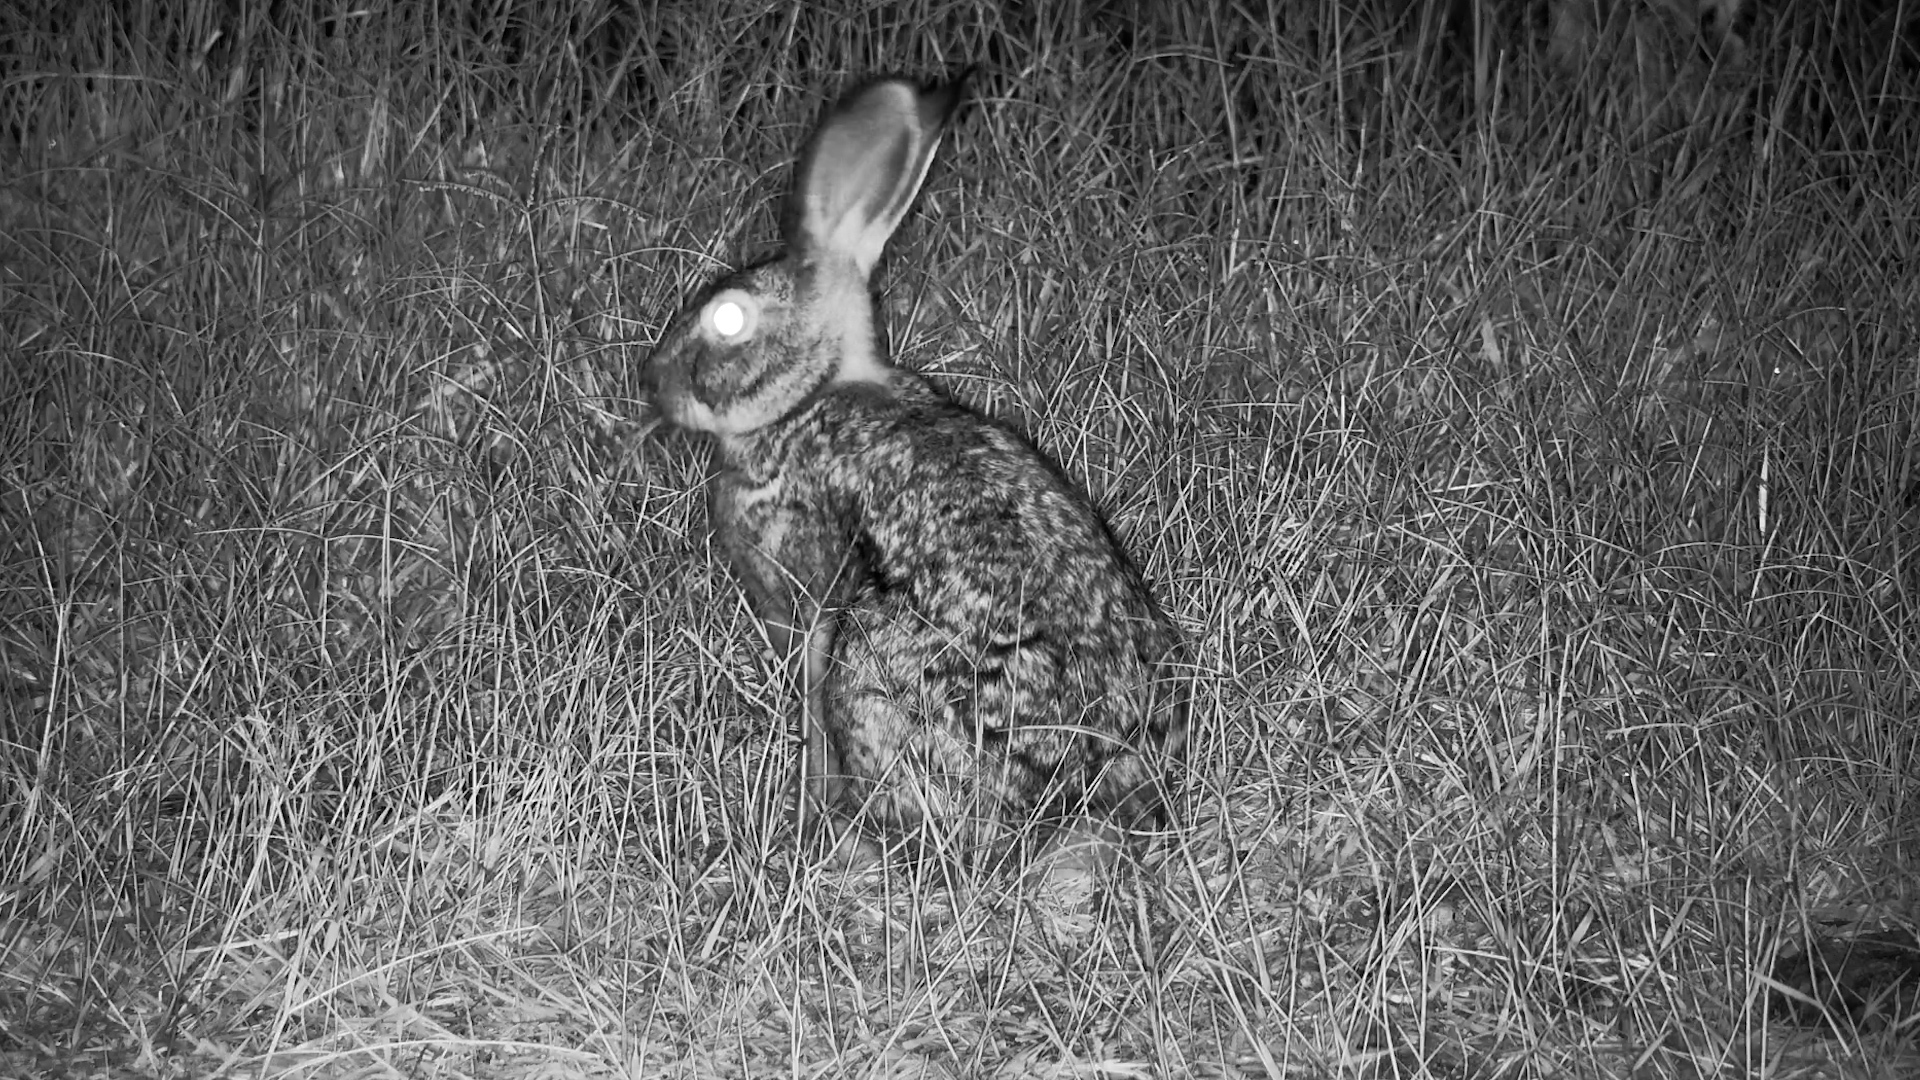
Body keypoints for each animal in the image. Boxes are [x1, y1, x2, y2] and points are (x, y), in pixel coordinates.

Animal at [642, 75, 1186, 879]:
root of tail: (1081, 797)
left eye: (728, 320)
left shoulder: (807, 606)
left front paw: (810, 811)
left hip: (874, 668)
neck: (809, 395)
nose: (654, 382)